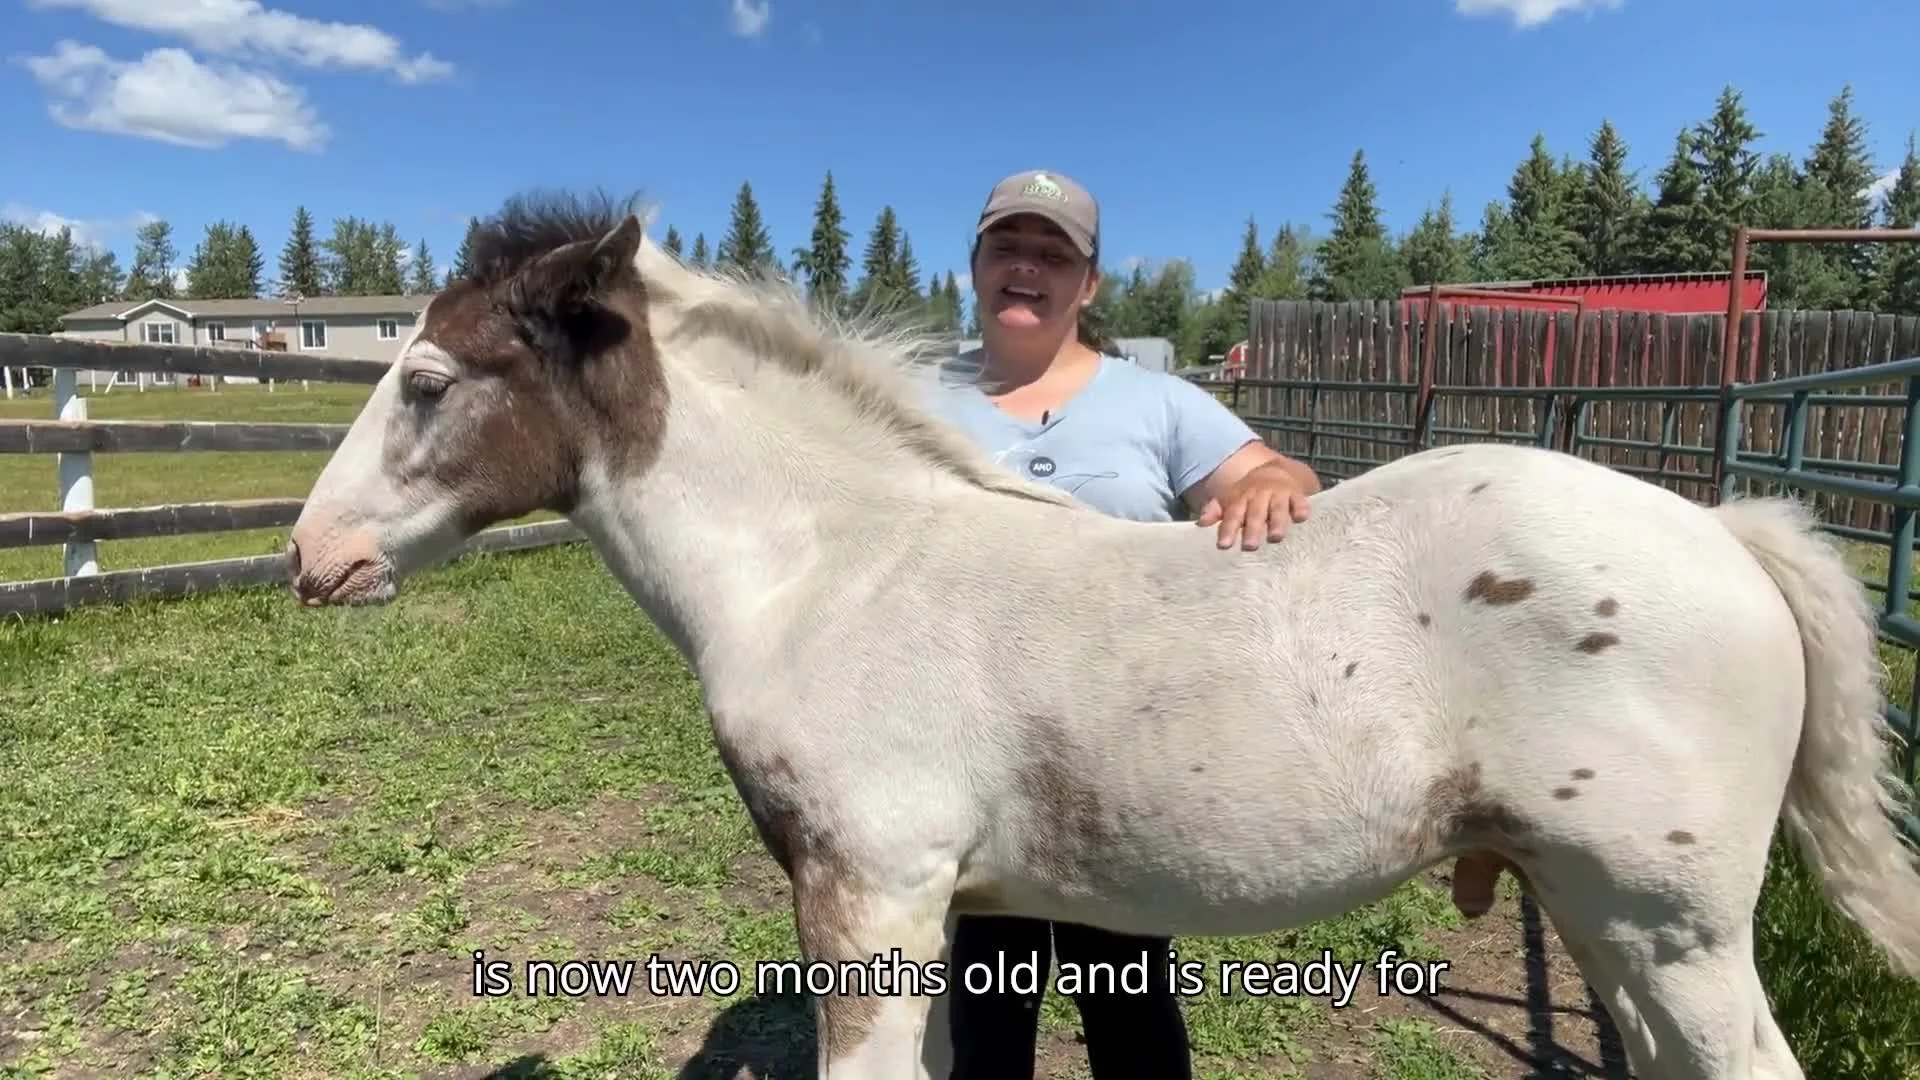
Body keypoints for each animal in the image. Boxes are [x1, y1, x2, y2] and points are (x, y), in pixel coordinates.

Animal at [285, 190, 1920, 1080]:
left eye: (426, 381)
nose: (313, 557)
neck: (833, 572)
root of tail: (1728, 530)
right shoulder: (939, 908)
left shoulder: (866, 893)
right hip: (1607, 920)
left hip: (1669, 921)